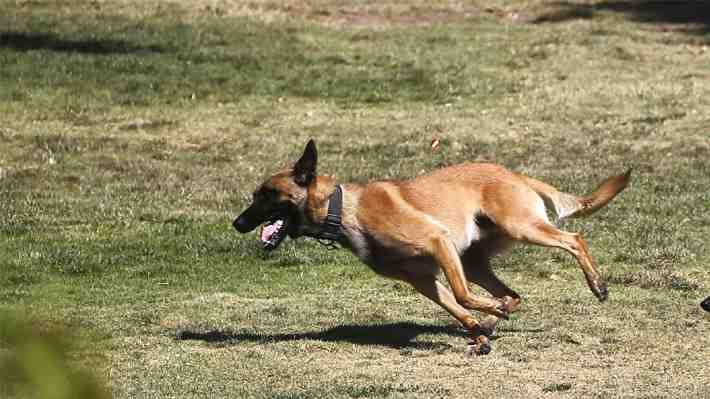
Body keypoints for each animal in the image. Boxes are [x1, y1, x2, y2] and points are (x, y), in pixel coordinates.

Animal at [234, 141, 636, 356]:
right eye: (255, 194)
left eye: (267, 195)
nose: (237, 223)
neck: (344, 208)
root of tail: (515, 174)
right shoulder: (422, 278)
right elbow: (456, 307)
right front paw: (478, 333)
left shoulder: (438, 243)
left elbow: (462, 296)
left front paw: (483, 320)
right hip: (473, 259)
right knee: (512, 294)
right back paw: (495, 318)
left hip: (520, 228)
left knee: (574, 239)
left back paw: (596, 285)